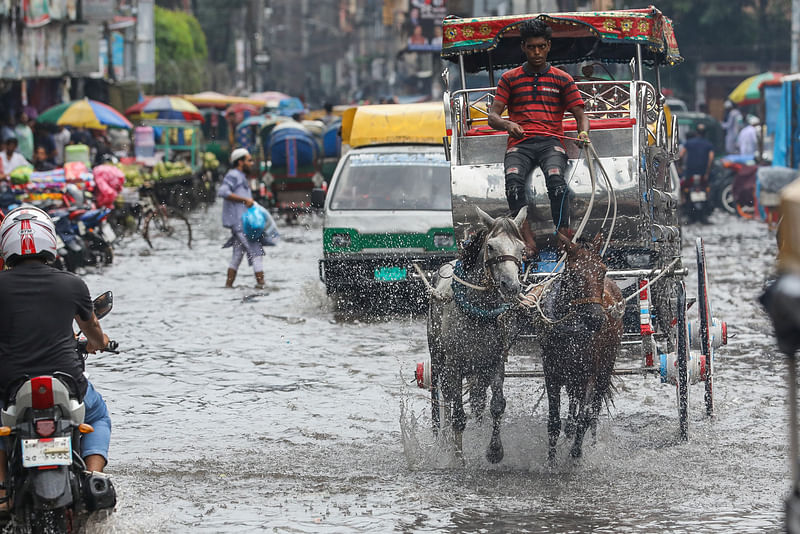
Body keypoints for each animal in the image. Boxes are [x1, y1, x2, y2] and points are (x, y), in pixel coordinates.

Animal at [428, 207, 528, 462]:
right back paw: (442, 439)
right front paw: (458, 457)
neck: (479, 312)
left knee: (477, 400)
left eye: (521, 248)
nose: (511, 286)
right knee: (441, 400)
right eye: (491, 246)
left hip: (478, 370)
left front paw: (494, 450)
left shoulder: (495, 361)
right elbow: (457, 415)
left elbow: (496, 405)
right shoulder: (454, 364)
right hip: (438, 358)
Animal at [524, 234, 624, 464]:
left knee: (594, 409)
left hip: (605, 368)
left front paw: (576, 454)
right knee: (573, 399)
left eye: (602, 270)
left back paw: (591, 440)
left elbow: (585, 416)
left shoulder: (590, 374)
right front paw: (551, 461)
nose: (597, 318)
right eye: (575, 274)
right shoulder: (552, 373)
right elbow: (553, 421)